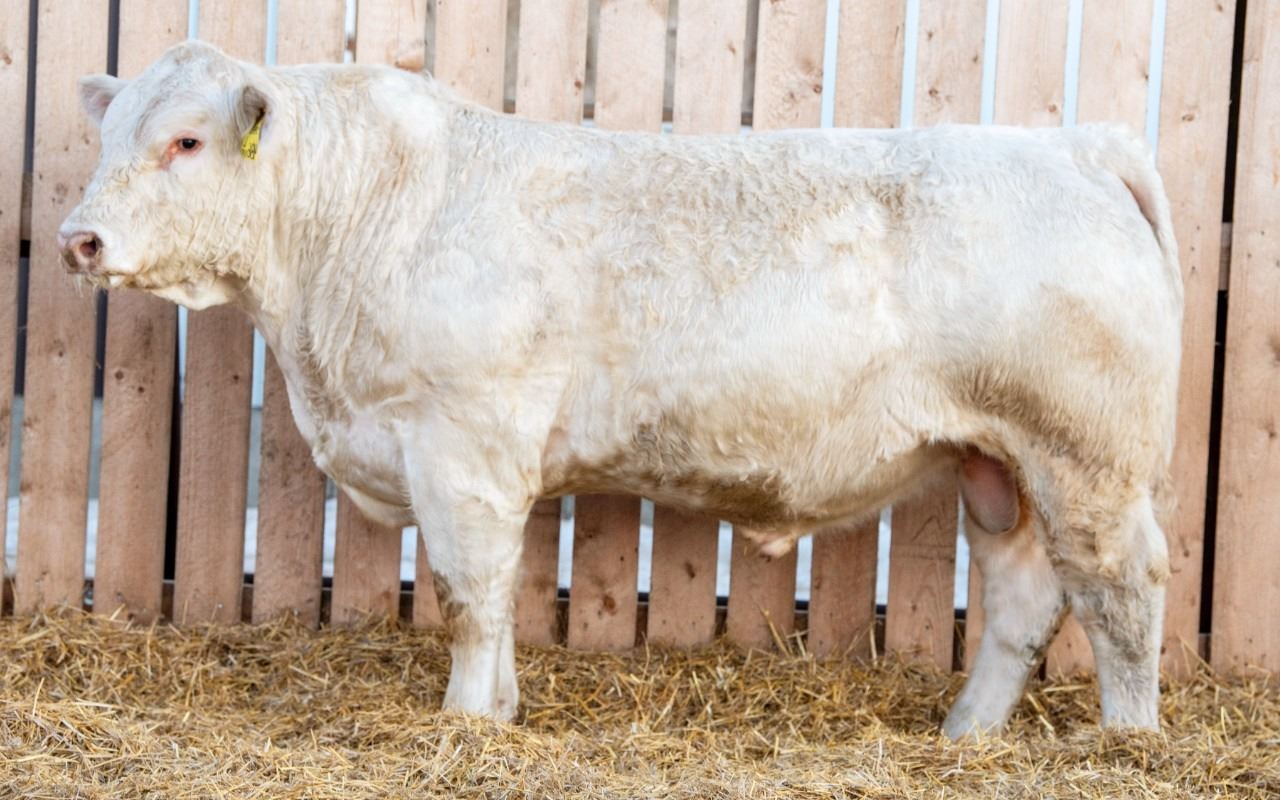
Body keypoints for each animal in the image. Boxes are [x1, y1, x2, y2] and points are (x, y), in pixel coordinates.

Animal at [59, 41, 1181, 738]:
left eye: (186, 140)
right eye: (109, 139)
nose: (79, 237)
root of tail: (1073, 144)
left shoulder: (463, 446)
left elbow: (468, 595)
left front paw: (465, 721)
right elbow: (499, 594)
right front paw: (501, 709)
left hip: (1085, 454)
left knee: (1120, 591)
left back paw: (1124, 740)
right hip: (999, 462)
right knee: (1025, 595)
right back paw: (963, 734)